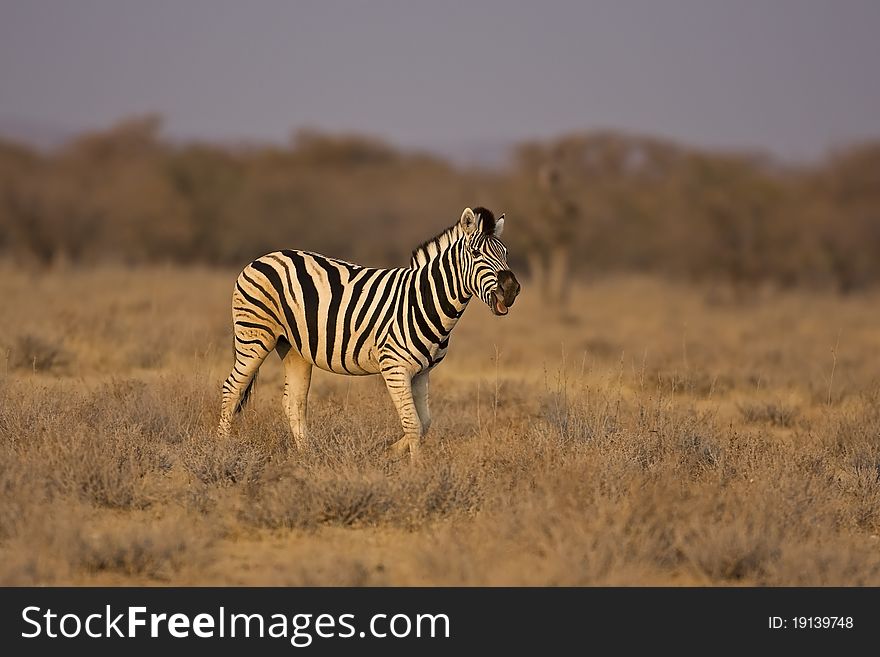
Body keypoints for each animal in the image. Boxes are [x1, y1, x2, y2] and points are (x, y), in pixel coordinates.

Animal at [219, 206, 520, 456]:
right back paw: (222, 449)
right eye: (476, 254)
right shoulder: (395, 368)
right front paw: (417, 472)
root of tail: (263, 258)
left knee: (294, 403)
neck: (423, 300)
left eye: (506, 254)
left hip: (294, 348)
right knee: (232, 389)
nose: (512, 289)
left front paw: (389, 451)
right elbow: (413, 423)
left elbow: (424, 423)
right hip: (254, 335)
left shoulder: (422, 372)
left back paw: (307, 457)